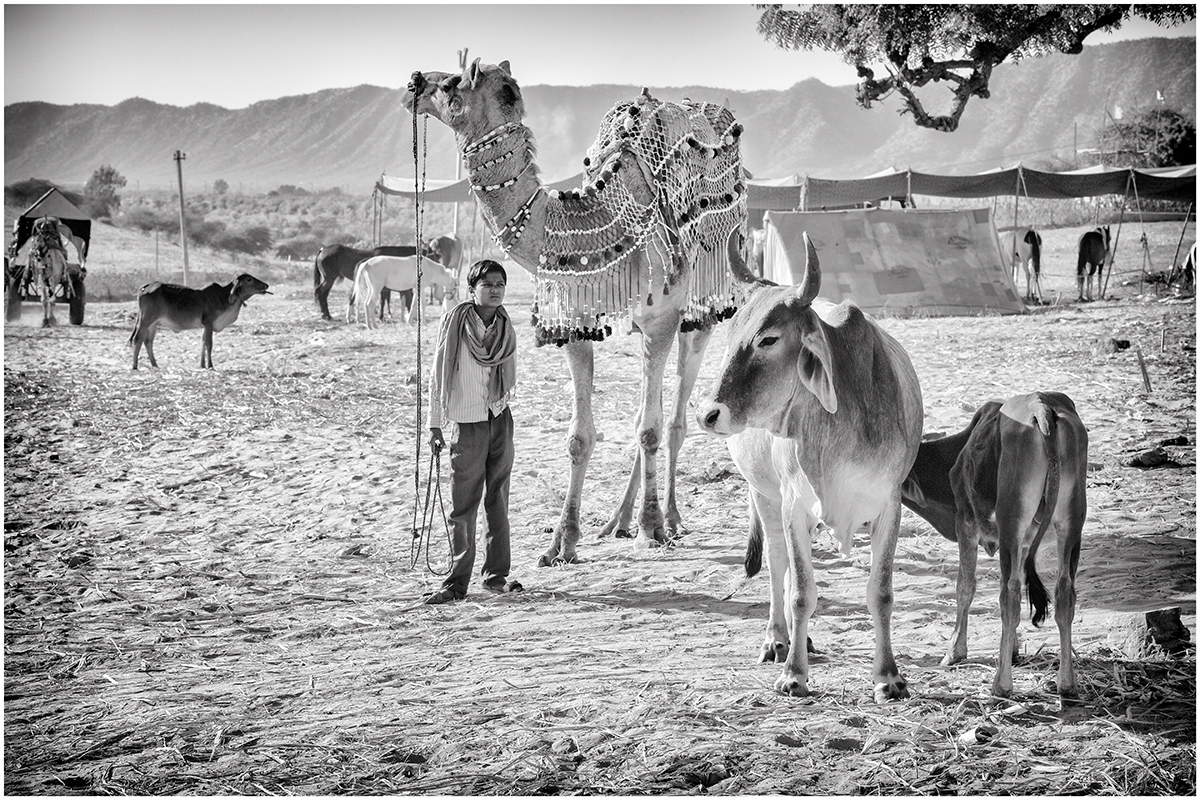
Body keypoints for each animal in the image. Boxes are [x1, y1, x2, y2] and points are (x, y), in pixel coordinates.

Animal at [131, 271, 272, 367]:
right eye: (249, 279)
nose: (266, 285)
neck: (224, 297)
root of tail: (145, 287)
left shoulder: (205, 326)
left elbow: (203, 343)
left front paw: (202, 365)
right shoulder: (209, 323)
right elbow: (209, 344)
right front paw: (210, 366)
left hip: (153, 324)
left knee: (148, 341)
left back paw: (155, 365)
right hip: (145, 320)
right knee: (137, 339)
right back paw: (135, 366)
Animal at [405, 59, 758, 566]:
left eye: (453, 83)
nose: (414, 83)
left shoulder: (663, 318)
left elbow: (652, 428)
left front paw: (652, 531)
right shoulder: (576, 326)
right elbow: (581, 436)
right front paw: (561, 544)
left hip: (703, 306)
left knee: (673, 418)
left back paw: (669, 519)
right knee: (644, 414)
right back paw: (618, 521)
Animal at [700, 235, 921, 705]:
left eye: (768, 339)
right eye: (730, 334)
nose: (708, 414)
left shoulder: (889, 506)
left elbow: (881, 593)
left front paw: (889, 678)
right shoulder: (793, 505)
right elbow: (801, 592)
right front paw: (794, 675)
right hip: (764, 496)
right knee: (778, 567)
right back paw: (779, 640)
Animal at [902, 391, 1089, 705]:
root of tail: (1043, 407)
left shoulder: (965, 522)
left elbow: (965, 586)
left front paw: (954, 651)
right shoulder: (1024, 542)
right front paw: (1011, 649)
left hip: (1011, 519)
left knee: (1009, 595)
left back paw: (1001, 685)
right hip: (1072, 522)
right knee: (1064, 592)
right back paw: (1067, 684)